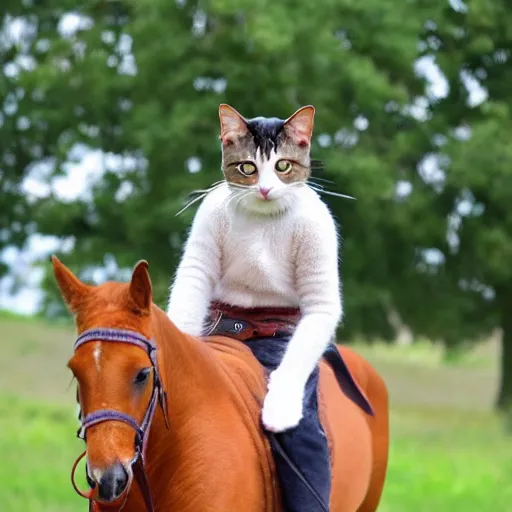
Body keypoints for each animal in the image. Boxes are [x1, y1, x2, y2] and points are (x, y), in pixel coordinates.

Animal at [168, 104, 342, 432]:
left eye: (282, 166)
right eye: (248, 168)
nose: (264, 189)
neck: (264, 216)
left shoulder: (318, 234)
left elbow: (309, 331)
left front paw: (279, 409)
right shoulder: (205, 231)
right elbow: (191, 285)